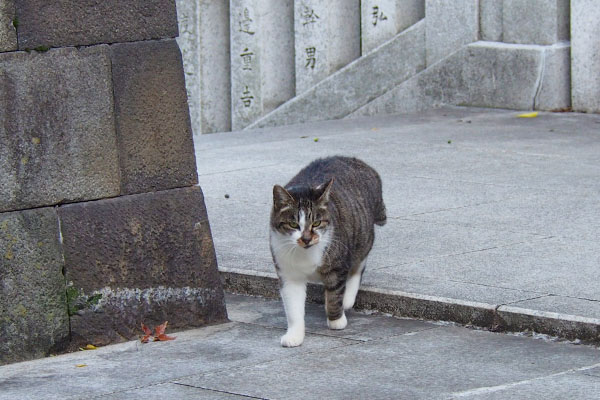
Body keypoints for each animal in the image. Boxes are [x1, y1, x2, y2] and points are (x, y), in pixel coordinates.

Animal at [270, 156, 386, 346]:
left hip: (361, 234)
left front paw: (336, 320)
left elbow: (334, 293)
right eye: (293, 224)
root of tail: (357, 162)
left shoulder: (337, 265)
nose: (306, 239)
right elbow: (293, 306)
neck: (305, 253)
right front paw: (294, 335)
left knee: (359, 263)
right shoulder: (288, 272)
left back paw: (347, 298)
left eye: (316, 223)